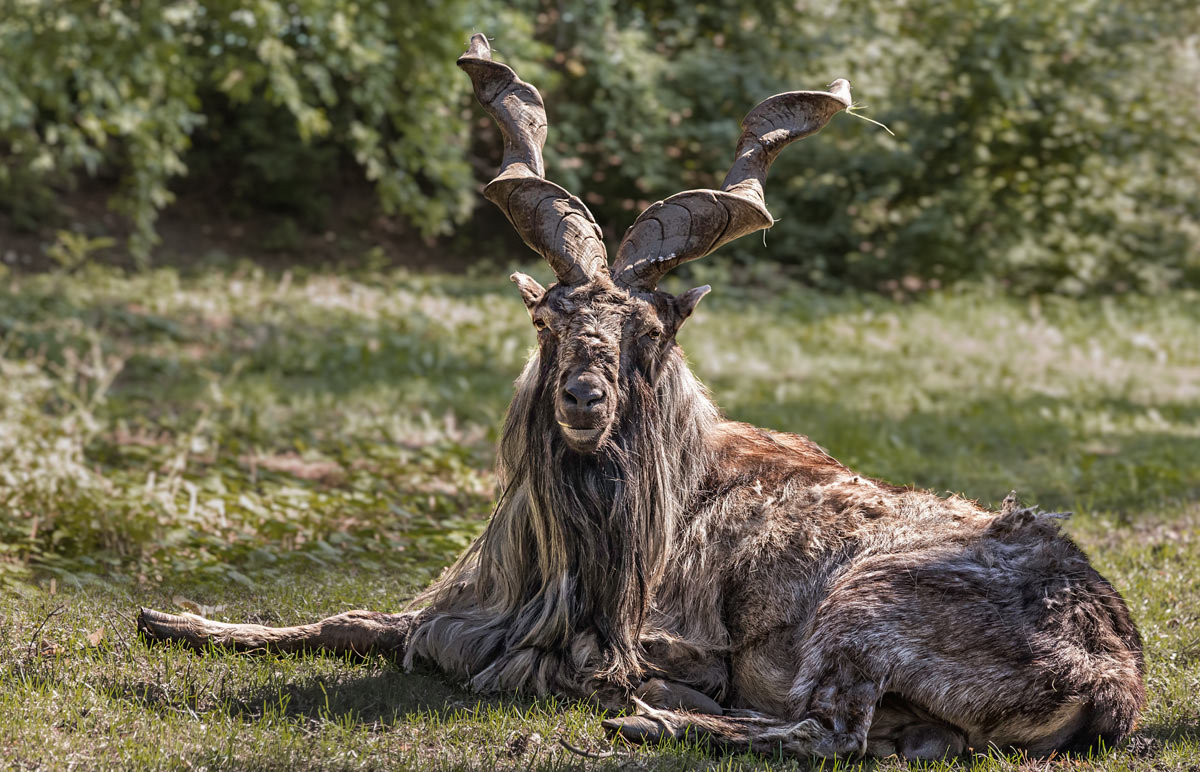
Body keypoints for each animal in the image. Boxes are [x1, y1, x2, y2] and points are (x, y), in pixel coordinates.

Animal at [140, 31, 1142, 758]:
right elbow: (353, 619)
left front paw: (642, 687)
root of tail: (1111, 677)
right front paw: (171, 618)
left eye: (649, 333)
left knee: (830, 733)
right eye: (548, 318)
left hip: (864, 605)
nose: (584, 399)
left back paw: (652, 715)